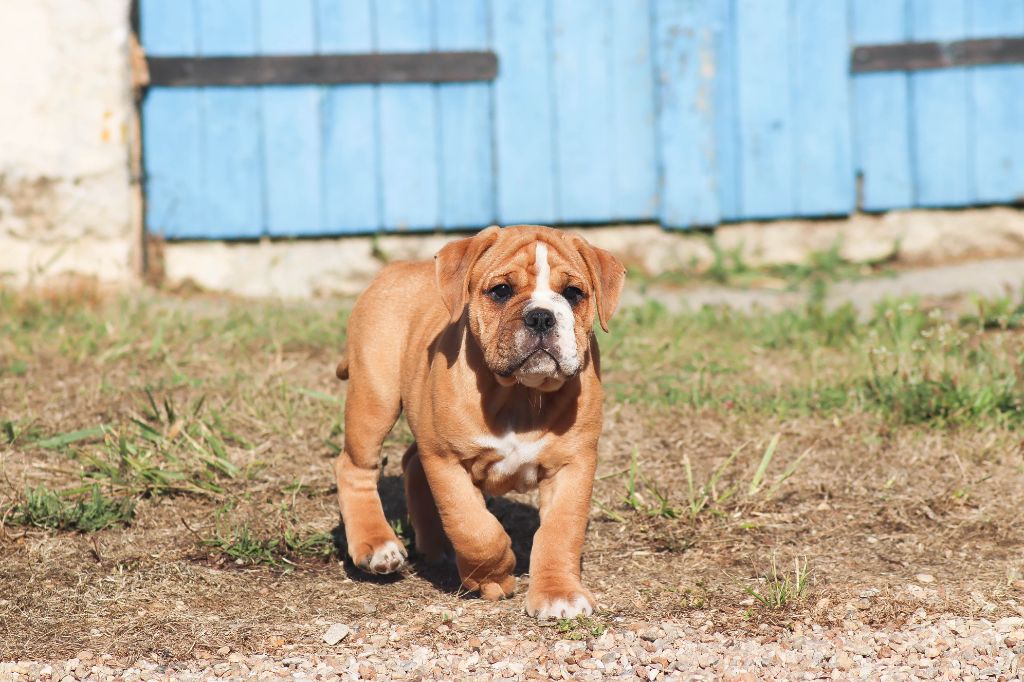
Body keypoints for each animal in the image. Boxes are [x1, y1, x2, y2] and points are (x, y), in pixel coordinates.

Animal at [333, 223, 622, 614]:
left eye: (573, 293)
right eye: (501, 291)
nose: (541, 316)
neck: (519, 394)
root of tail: (396, 269)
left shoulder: (572, 465)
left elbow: (560, 531)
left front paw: (558, 593)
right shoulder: (446, 460)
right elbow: (473, 527)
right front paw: (493, 577)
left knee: (411, 462)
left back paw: (434, 546)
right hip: (375, 399)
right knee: (354, 466)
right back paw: (376, 546)